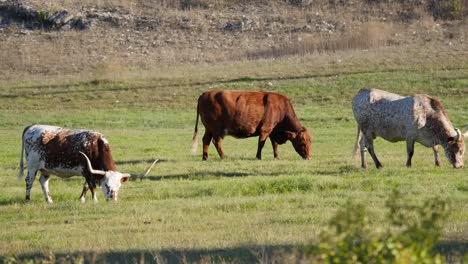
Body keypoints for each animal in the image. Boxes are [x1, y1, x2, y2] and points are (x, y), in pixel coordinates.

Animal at [18, 125, 157, 203]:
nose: (113, 199)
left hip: (46, 168)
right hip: (32, 166)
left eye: (119, 186)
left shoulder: (89, 172)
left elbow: (85, 186)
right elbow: (92, 187)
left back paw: (49, 200)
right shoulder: (87, 171)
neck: (96, 145)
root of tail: (31, 127)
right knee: (29, 181)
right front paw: (95, 200)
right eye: (106, 185)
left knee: (43, 182)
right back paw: (27, 200)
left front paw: (82, 200)